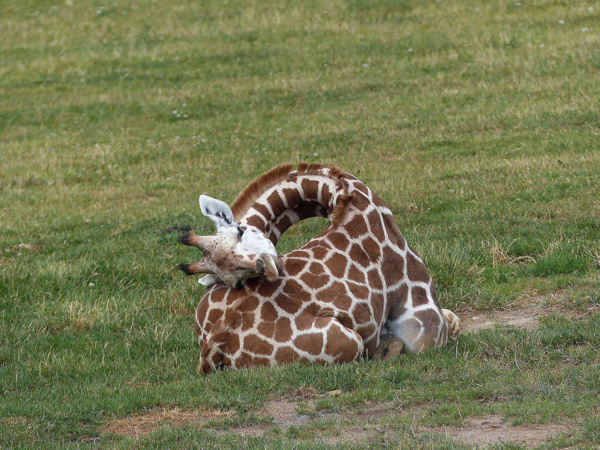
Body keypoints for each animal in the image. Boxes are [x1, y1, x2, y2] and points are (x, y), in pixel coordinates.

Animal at [178, 163, 460, 374]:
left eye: (240, 232)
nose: (269, 268)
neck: (346, 198)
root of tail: (214, 345)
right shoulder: (425, 328)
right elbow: (452, 321)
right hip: (350, 341)